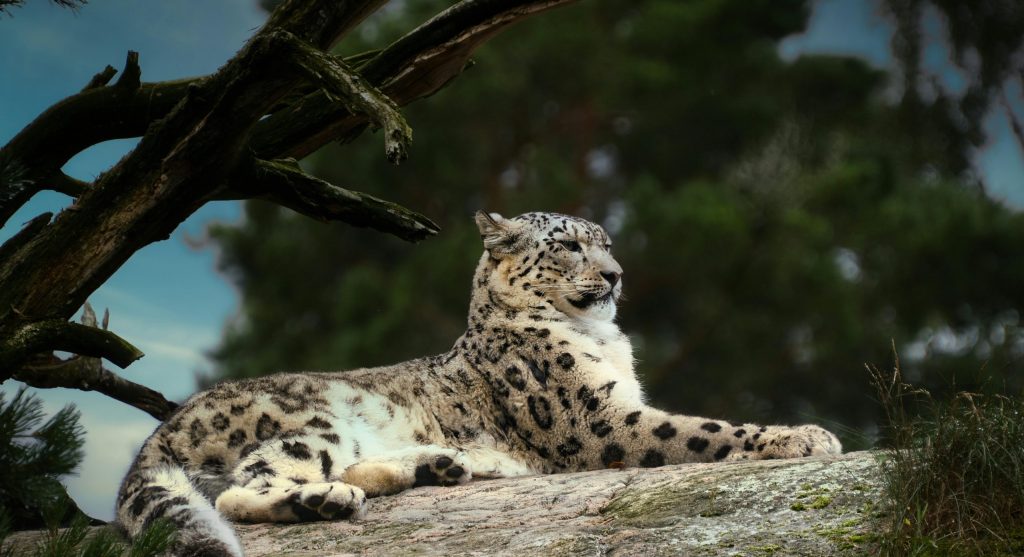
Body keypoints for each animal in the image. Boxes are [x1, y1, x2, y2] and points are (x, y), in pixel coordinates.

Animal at [116, 211, 842, 556]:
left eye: (605, 243)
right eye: (569, 246)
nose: (616, 275)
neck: (605, 342)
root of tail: (164, 426)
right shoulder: (597, 420)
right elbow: (698, 430)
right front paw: (805, 437)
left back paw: (436, 464)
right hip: (308, 422)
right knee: (246, 486)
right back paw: (325, 501)